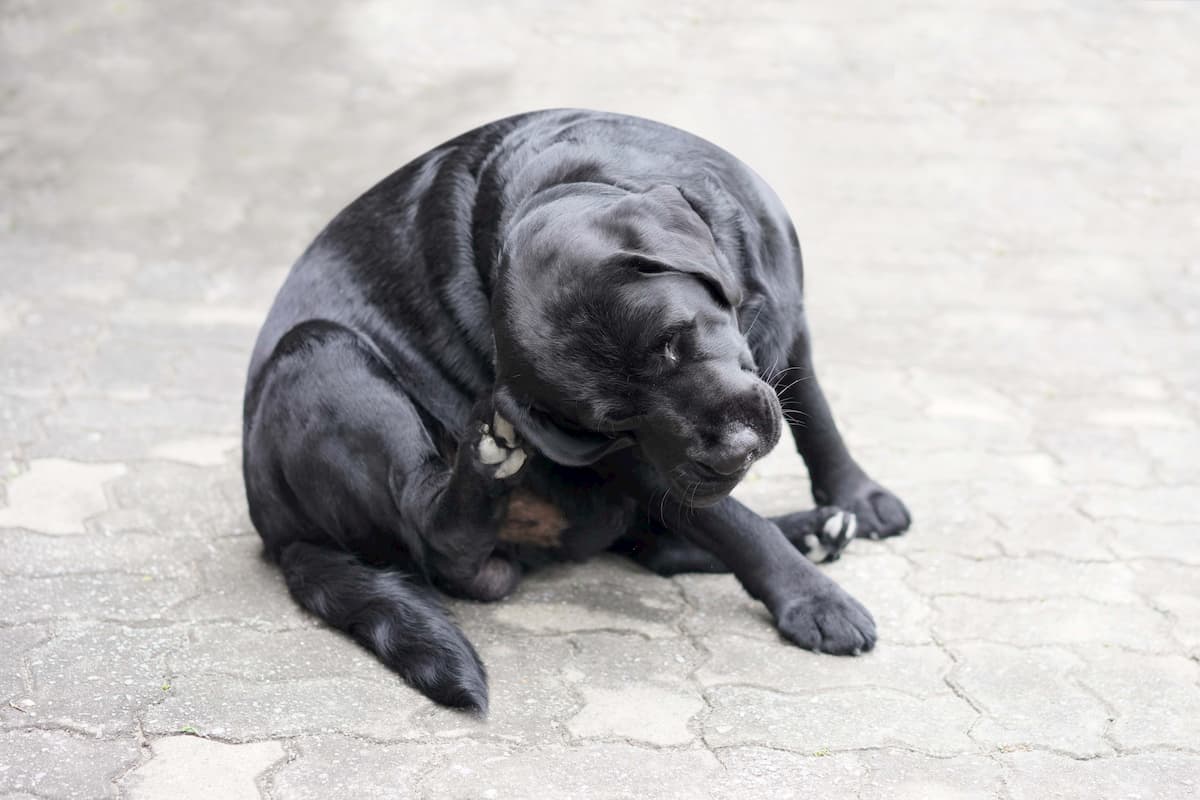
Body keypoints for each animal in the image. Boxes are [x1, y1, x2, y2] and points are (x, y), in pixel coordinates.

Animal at [243, 107, 907, 714]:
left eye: (672, 339)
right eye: (612, 421)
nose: (731, 454)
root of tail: (278, 532)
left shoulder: (787, 318)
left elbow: (816, 418)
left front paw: (857, 497)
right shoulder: (628, 460)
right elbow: (733, 523)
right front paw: (814, 601)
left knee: (653, 545)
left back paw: (814, 528)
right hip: (322, 351)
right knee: (440, 542)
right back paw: (487, 458)